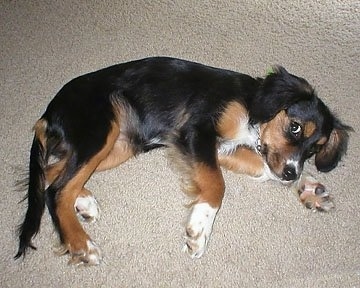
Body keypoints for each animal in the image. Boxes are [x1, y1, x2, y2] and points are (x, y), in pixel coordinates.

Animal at [14, 56, 352, 266]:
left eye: (314, 149)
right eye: (294, 127)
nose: (292, 173)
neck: (252, 105)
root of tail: (48, 112)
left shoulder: (219, 149)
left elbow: (261, 166)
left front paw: (311, 190)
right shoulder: (196, 131)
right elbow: (217, 185)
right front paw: (200, 228)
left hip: (120, 144)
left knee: (51, 174)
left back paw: (84, 203)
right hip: (101, 130)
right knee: (57, 188)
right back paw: (81, 245)